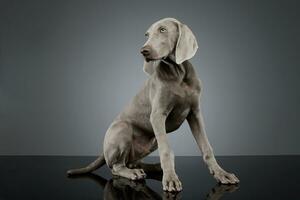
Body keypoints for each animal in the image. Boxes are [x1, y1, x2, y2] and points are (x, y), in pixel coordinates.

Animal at [67, 17, 239, 192]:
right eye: (147, 35)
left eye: (163, 30)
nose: (143, 51)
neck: (178, 74)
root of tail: (104, 150)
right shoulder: (157, 115)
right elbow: (166, 150)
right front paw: (170, 179)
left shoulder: (195, 113)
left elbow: (206, 147)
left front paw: (222, 174)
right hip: (122, 128)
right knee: (116, 166)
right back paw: (134, 173)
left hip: (151, 141)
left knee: (132, 162)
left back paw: (154, 167)